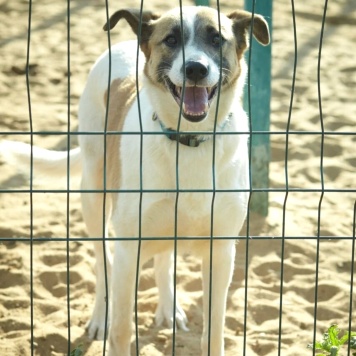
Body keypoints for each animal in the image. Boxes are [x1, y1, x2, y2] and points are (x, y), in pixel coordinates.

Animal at [0, 6, 268, 356]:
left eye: (215, 39)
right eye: (171, 40)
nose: (195, 69)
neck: (188, 140)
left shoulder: (221, 251)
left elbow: (214, 332)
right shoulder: (129, 247)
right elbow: (122, 329)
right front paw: (113, 326)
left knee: (165, 258)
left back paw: (169, 309)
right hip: (93, 195)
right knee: (103, 263)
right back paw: (101, 316)